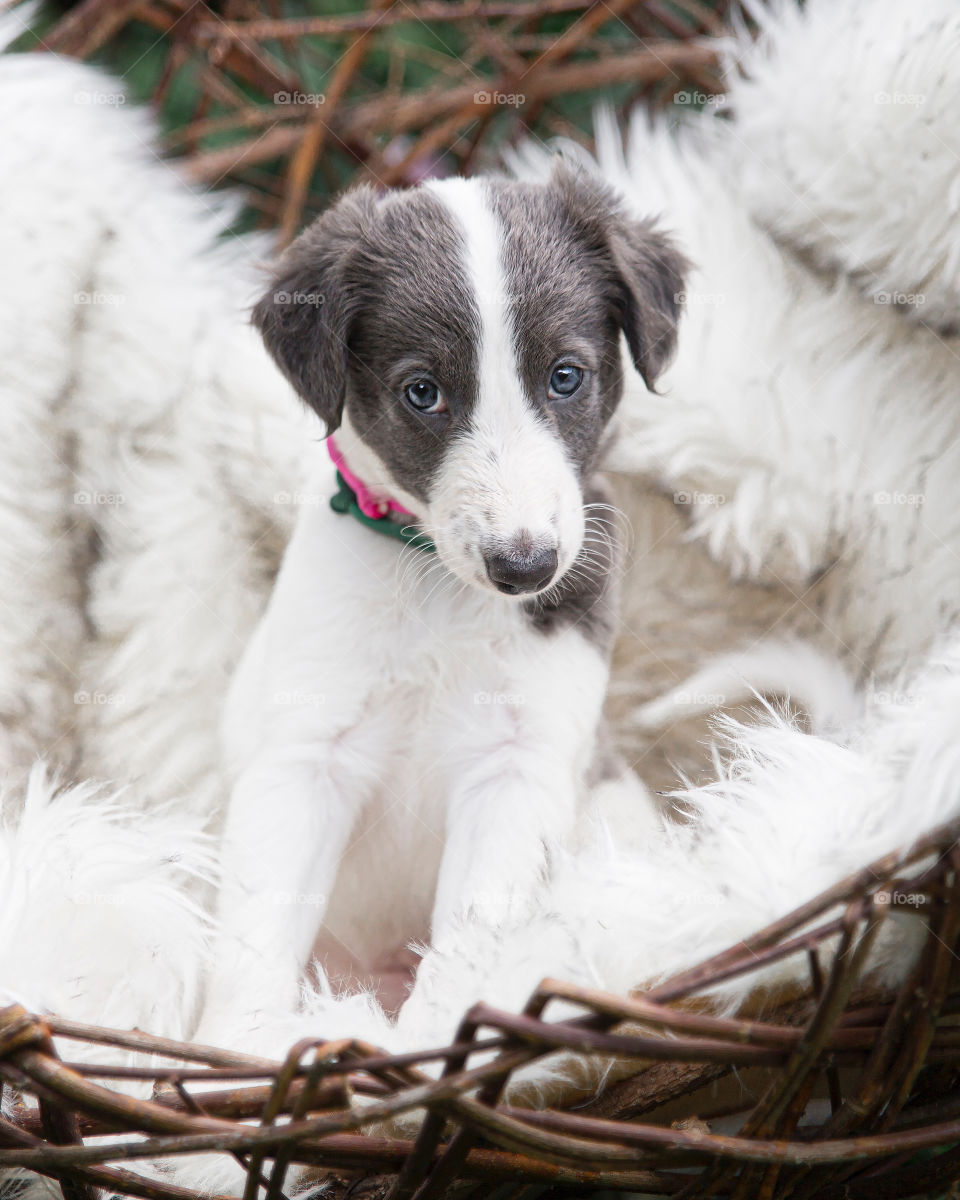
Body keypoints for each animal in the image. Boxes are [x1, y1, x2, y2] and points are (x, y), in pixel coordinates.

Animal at [194, 164, 686, 1046]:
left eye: (566, 375)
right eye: (423, 393)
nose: (526, 568)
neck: (439, 586)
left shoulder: (517, 767)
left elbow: (470, 936)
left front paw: (426, 1047)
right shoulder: (305, 755)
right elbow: (255, 937)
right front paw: (233, 1054)